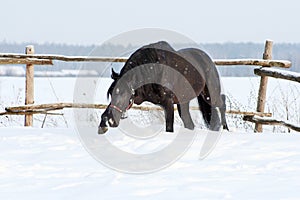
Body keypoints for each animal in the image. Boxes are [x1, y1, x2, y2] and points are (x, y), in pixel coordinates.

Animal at [98, 41, 227, 134]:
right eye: (111, 94)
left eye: (124, 93)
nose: (111, 120)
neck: (153, 72)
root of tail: (207, 59)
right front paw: (102, 125)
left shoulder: (168, 103)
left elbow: (169, 127)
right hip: (184, 101)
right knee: (189, 123)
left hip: (210, 95)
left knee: (222, 103)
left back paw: (225, 128)